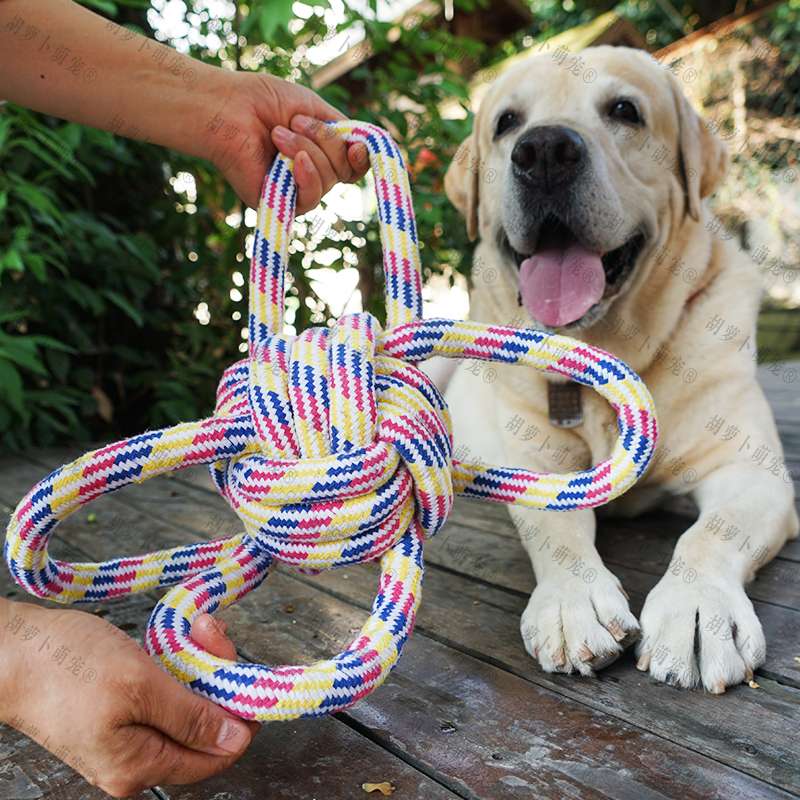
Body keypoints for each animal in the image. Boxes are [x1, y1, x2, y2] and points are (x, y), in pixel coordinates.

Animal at [440, 45, 796, 692]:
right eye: (506, 123)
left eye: (625, 111)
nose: (544, 151)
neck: (611, 349)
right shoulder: (534, 462)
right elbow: (554, 527)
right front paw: (570, 602)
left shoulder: (749, 470)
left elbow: (709, 533)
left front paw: (698, 609)